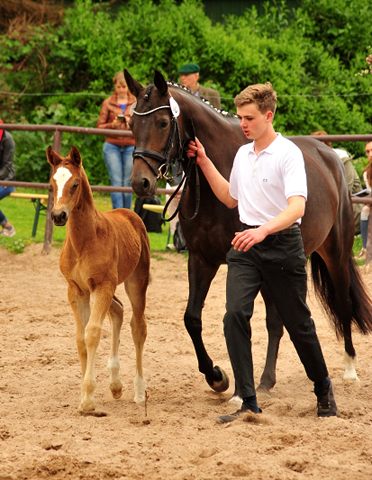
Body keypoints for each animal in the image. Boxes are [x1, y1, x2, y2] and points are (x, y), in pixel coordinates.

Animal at [47, 146, 150, 412]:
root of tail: (129, 213)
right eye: (52, 183)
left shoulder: (103, 285)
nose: (58, 215)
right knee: (119, 310)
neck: (84, 241)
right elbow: (80, 337)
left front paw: (88, 397)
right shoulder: (77, 290)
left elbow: (92, 332)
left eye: (75, 184)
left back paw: (139, 389)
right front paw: (86, 393)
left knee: (138, 326)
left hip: (135, 282)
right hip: (107, 289)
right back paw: (115, 384)